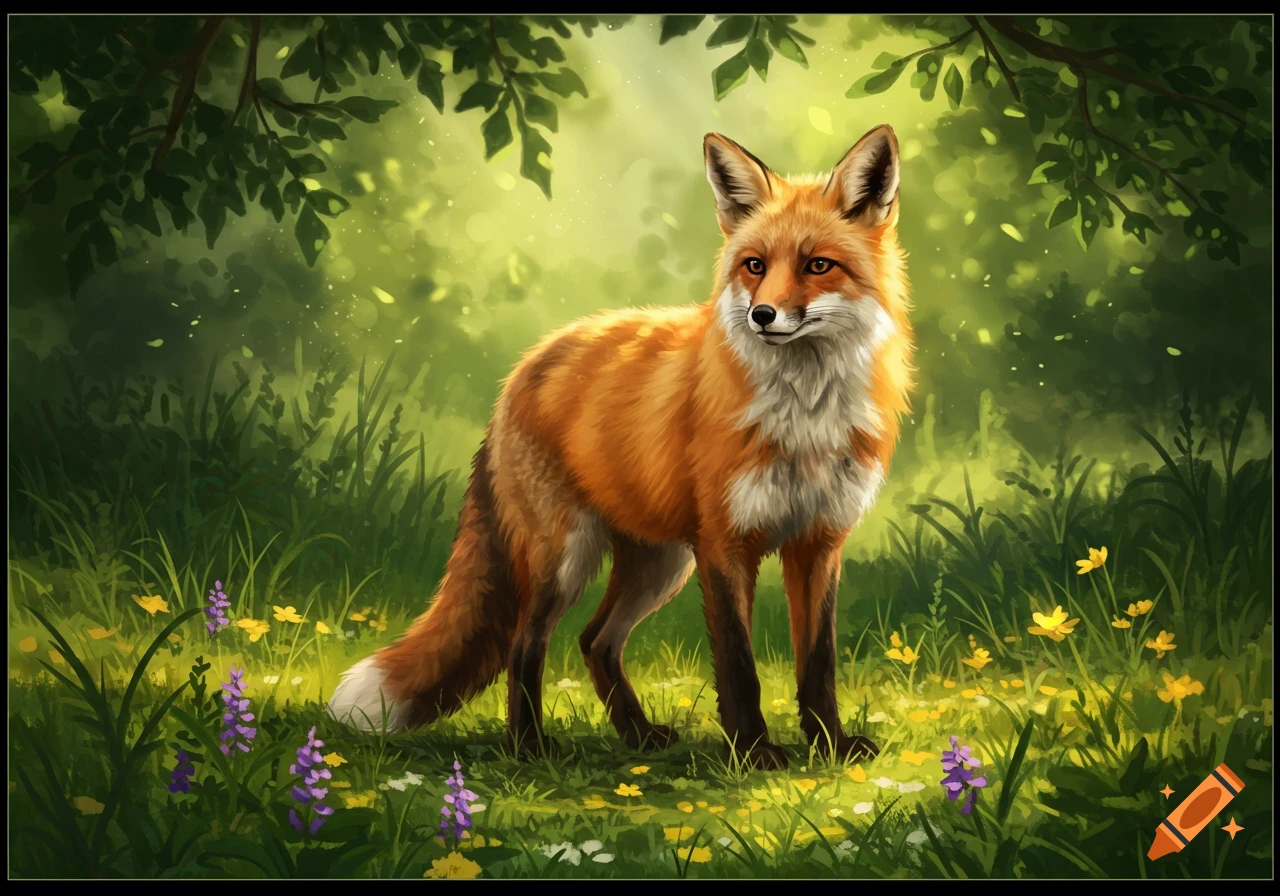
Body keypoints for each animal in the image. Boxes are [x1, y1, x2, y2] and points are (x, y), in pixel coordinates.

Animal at [327, 124, 913, 770]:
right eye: (755, 266)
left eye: (818, 266)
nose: (763, 315)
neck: (805, 419)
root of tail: (525, 366)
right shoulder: (726, 545)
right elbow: (739, 665)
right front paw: (753, 752)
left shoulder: (818, 542)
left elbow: (817, 663)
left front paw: (830, 743)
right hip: (567, 556)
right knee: (526, 643)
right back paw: (529, 746)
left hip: (660, 564)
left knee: (595, 640)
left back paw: (636, 735)